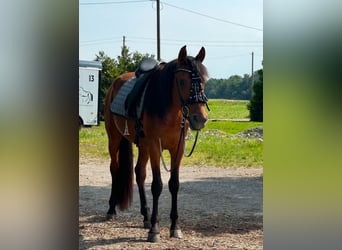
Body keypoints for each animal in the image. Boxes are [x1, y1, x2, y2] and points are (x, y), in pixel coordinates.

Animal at [103, 45, 208, 242]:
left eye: (204, 80)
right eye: (182, 81)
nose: (200, 118)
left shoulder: (177, 149)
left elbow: (174, 185)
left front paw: (175, 227)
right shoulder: (155, 147)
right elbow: (157, 185)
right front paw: (155, 229)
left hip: (142, 145)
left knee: (139, 173)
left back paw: (145, 215)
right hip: (114, 139)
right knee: (114, 168)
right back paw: (112, 209)